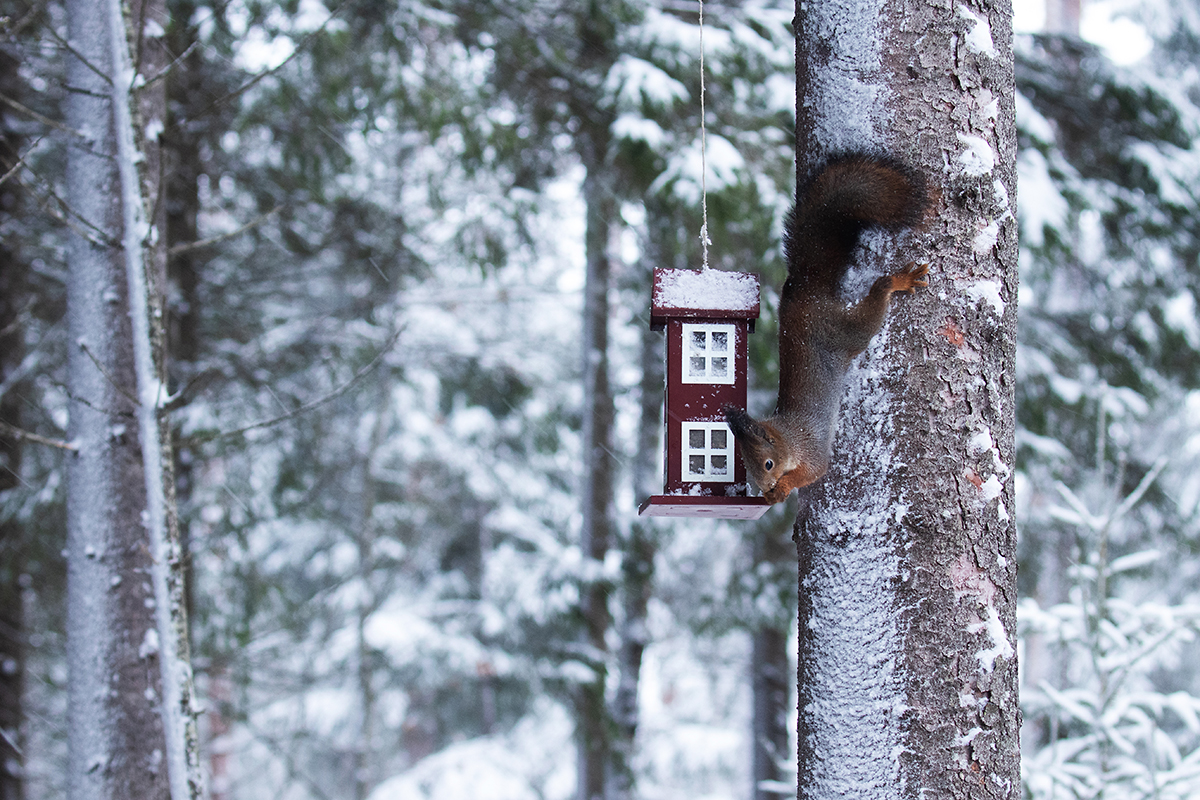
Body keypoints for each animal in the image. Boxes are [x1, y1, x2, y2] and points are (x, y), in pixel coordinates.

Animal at [725, 153, 929, 504]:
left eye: (768, 464)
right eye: (747, 469)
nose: (764, 488)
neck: (789, 438)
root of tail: (805, 291)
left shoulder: (812, 449)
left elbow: (814, 472)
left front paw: (783, 489)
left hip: (845, 331)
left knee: (874, 304)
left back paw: (897, 282)